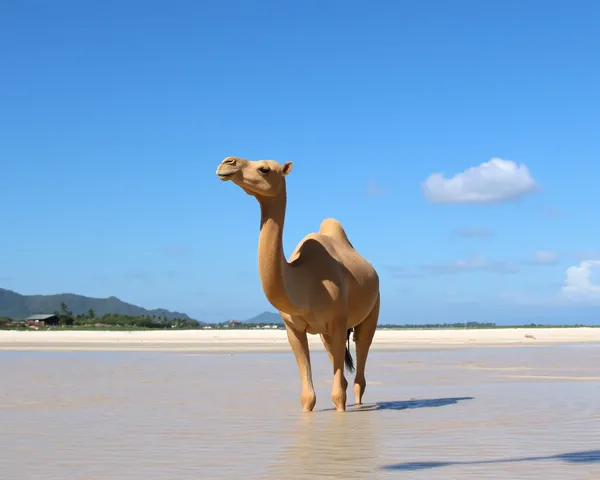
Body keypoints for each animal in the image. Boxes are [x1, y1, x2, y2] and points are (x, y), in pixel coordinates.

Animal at [216, 158, 380, 412]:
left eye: (264, 169)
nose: (227, 163)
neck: (305, 282)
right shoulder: (293, 328)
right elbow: (308, 396)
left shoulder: (337, 320)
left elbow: (337, 394)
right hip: (326, 332)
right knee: (343, 373)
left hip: (371, 310)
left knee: (360, 365)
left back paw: (360, 406)